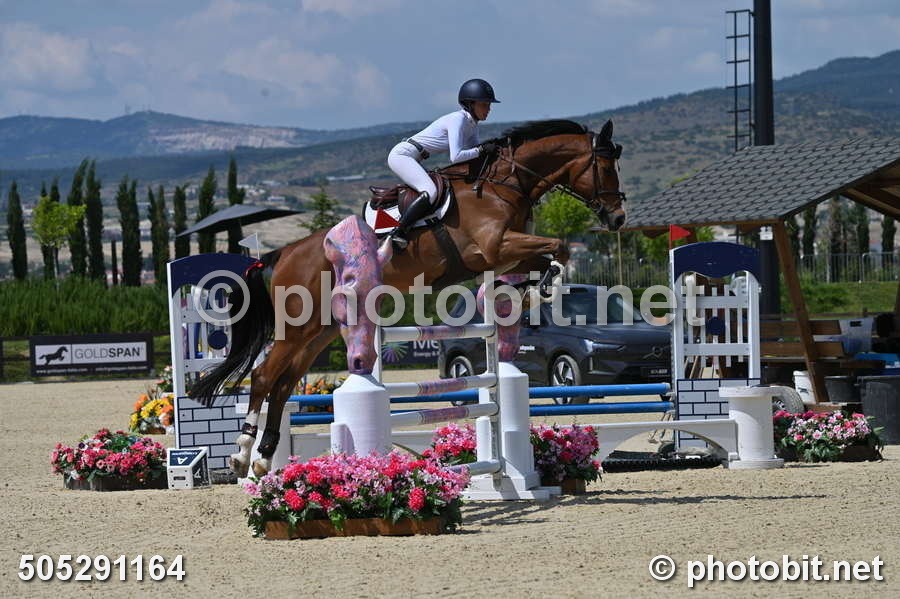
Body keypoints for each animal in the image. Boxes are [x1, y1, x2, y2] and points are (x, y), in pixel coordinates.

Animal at [189, 118, 627, 477]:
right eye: (605, 166)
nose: (617, 218)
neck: (503, 186)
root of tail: (281, 254)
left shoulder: (508, 251)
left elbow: (550, 253)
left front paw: (532, 290)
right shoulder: (494, 247)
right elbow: (560, 245)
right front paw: (541, 289)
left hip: (320, 329)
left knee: (283, 383)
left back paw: (264, 457)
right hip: (298, 326)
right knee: (265, 376)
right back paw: (242, 453)